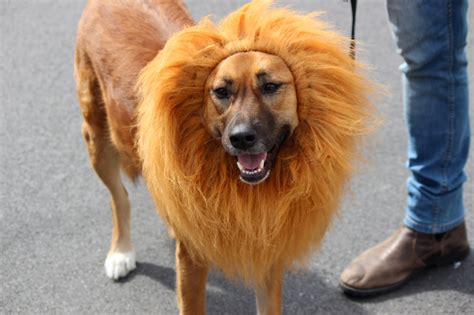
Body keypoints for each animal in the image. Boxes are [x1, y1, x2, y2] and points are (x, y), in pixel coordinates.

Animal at [74, 1, 374, 314]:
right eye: (221, 91)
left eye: (270, 86)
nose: (241, 138)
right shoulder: (192, 262)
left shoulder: (267, 252)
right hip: (96, 137)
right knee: (119, 196)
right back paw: (120, 252)